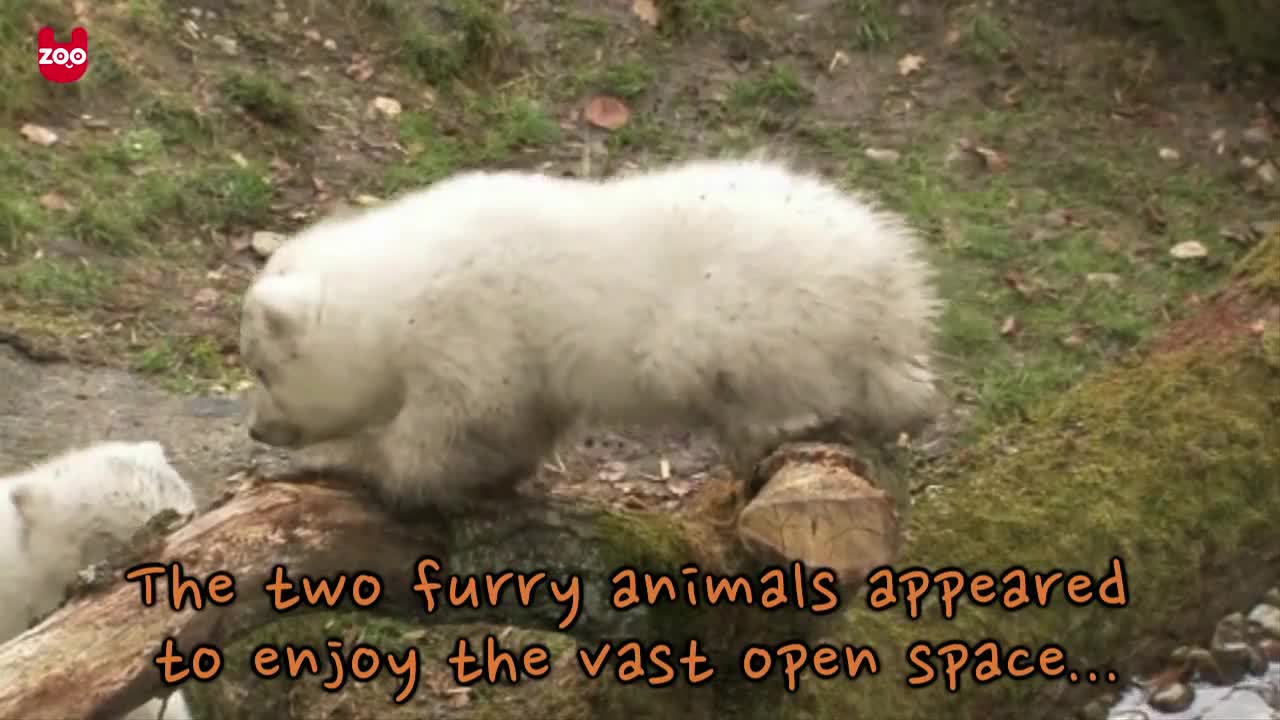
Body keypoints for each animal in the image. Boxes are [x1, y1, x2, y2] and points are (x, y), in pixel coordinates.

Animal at [238, 154, 944, 514]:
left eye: (262, 370)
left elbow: (450, 427)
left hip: (758, 310)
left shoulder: (471, 326)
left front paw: (338, 461)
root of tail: (894, 284)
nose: (259, 429)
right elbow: (511, 426)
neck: (409, 279)